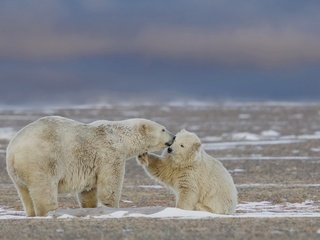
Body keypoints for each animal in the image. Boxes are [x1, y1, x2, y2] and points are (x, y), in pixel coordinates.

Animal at [5, 116, 175, 218]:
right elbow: (110, 185)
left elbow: (88, 190)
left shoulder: (90, 164)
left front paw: (90, 207)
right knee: (44, 189)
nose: (173, 137)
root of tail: (13, 151)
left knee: (25, 193)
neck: (120, 136)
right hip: (42, 161)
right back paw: (50, 212)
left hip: (17, 173)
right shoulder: (110, 153)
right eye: (163, 129)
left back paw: (31, 214)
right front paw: (112, 207)